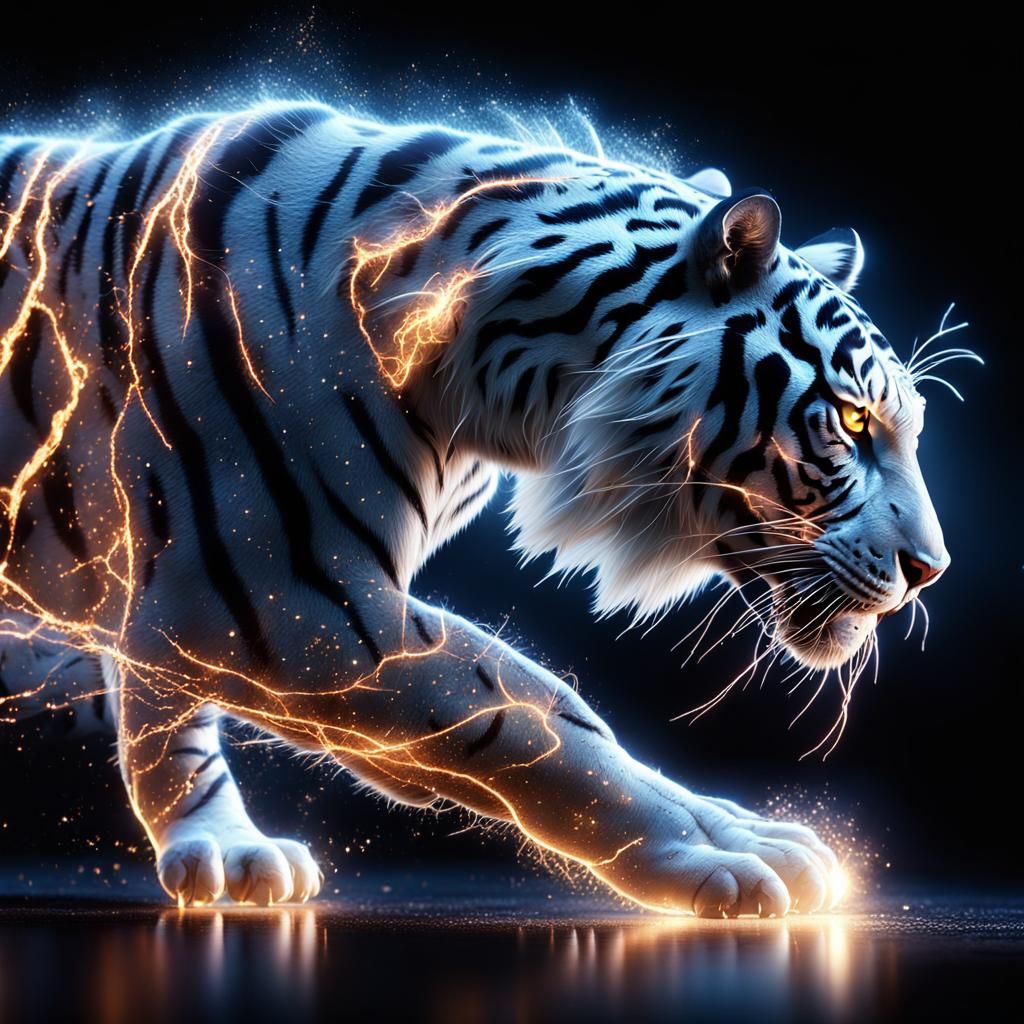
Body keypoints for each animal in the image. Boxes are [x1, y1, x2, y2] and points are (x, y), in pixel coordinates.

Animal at [0, 99, 953, 916]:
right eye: (854, 421)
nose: (930, 570)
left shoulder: (200, 599)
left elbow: (175, 716)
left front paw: (220, 848)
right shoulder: (276, 599)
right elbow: (531, 718)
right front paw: (709, 856)